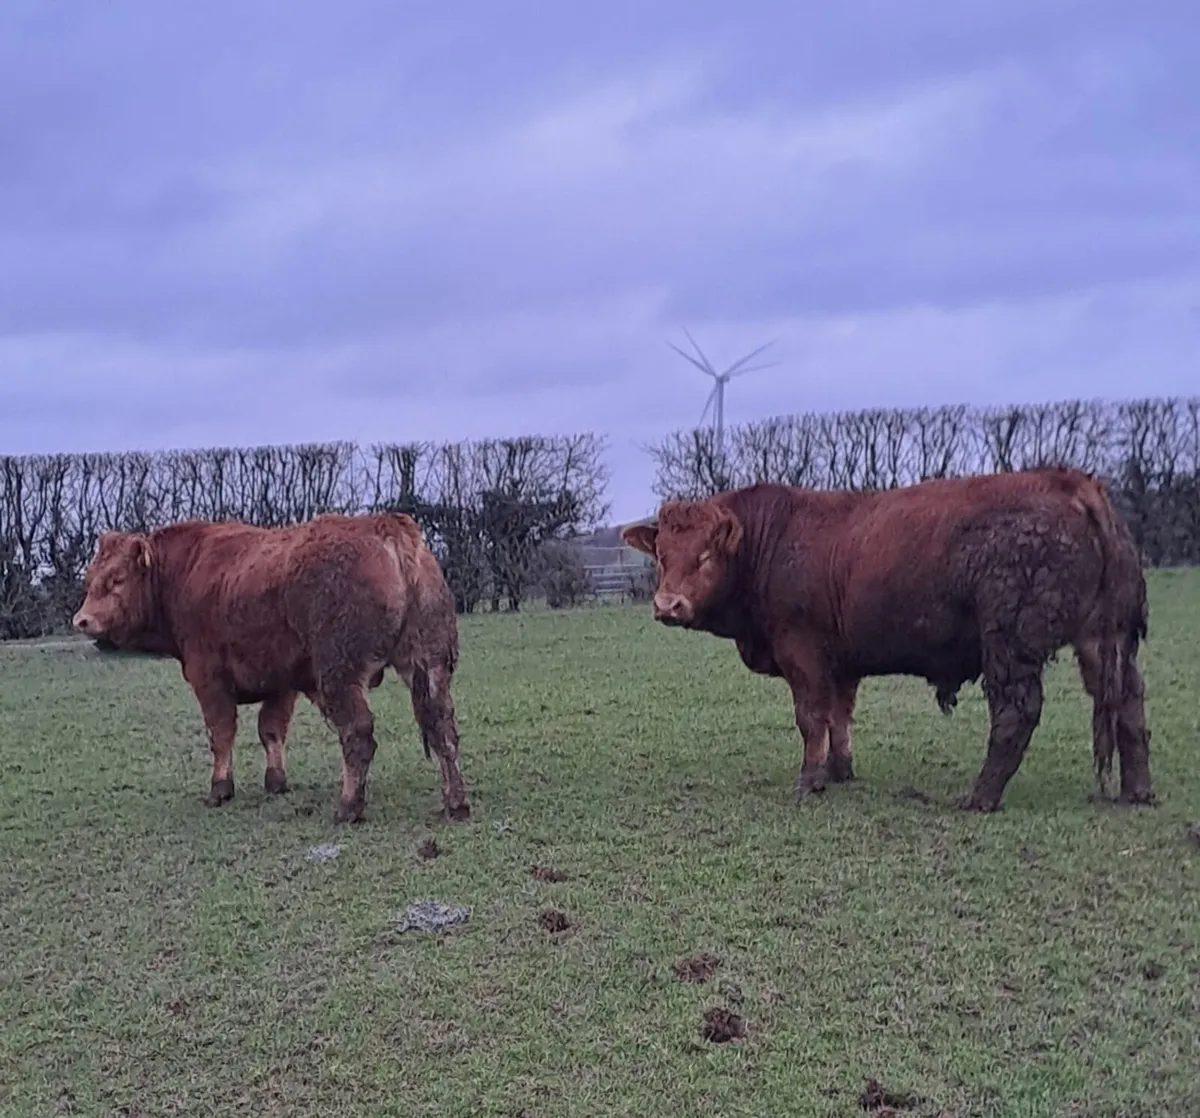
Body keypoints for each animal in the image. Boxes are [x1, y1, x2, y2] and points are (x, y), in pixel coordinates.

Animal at [71, 511, 470, 825]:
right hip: (429, 664)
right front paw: (276, 782)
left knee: (358, 734)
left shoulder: (208, 678)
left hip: (339, 674)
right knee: (442, 728)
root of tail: (385, 524)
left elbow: (221, 734)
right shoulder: (282, 683)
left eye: (116, 579)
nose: (82, 620)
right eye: (90, 580)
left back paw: (348, 807)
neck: (186, 570)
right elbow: (271, 731)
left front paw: (220, 789)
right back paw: (455, 803)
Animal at [621, 468, 1153, 812]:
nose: (668, 604)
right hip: (1103, 639)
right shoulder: (840, 661)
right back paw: (1137, 790)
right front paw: (839, 770)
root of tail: (1073, 483)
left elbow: (811, 719)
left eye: (706, 554)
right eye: (662, 555)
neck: (773, 542)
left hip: (1010, 643)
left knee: (1015, 713)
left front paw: (809, 781)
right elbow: (839, 716)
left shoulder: (803, 652)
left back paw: (980, 796)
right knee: (1129, 701)